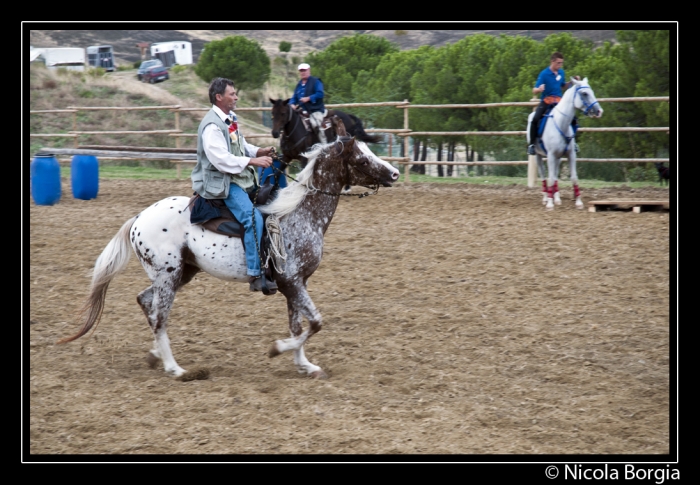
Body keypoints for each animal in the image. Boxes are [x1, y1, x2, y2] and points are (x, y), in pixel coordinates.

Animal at [528, 76, 604, 209]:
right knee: (543, 175)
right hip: (538, 155)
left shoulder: (570, 155)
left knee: (555, 176)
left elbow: (573, 177)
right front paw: (550, 203)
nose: (599, 111)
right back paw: (545, 198)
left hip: (558, 157)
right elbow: (550, 178)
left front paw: (578, 202)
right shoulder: (551, 156)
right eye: (584, 93)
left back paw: (557, 198)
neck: (561, 123)